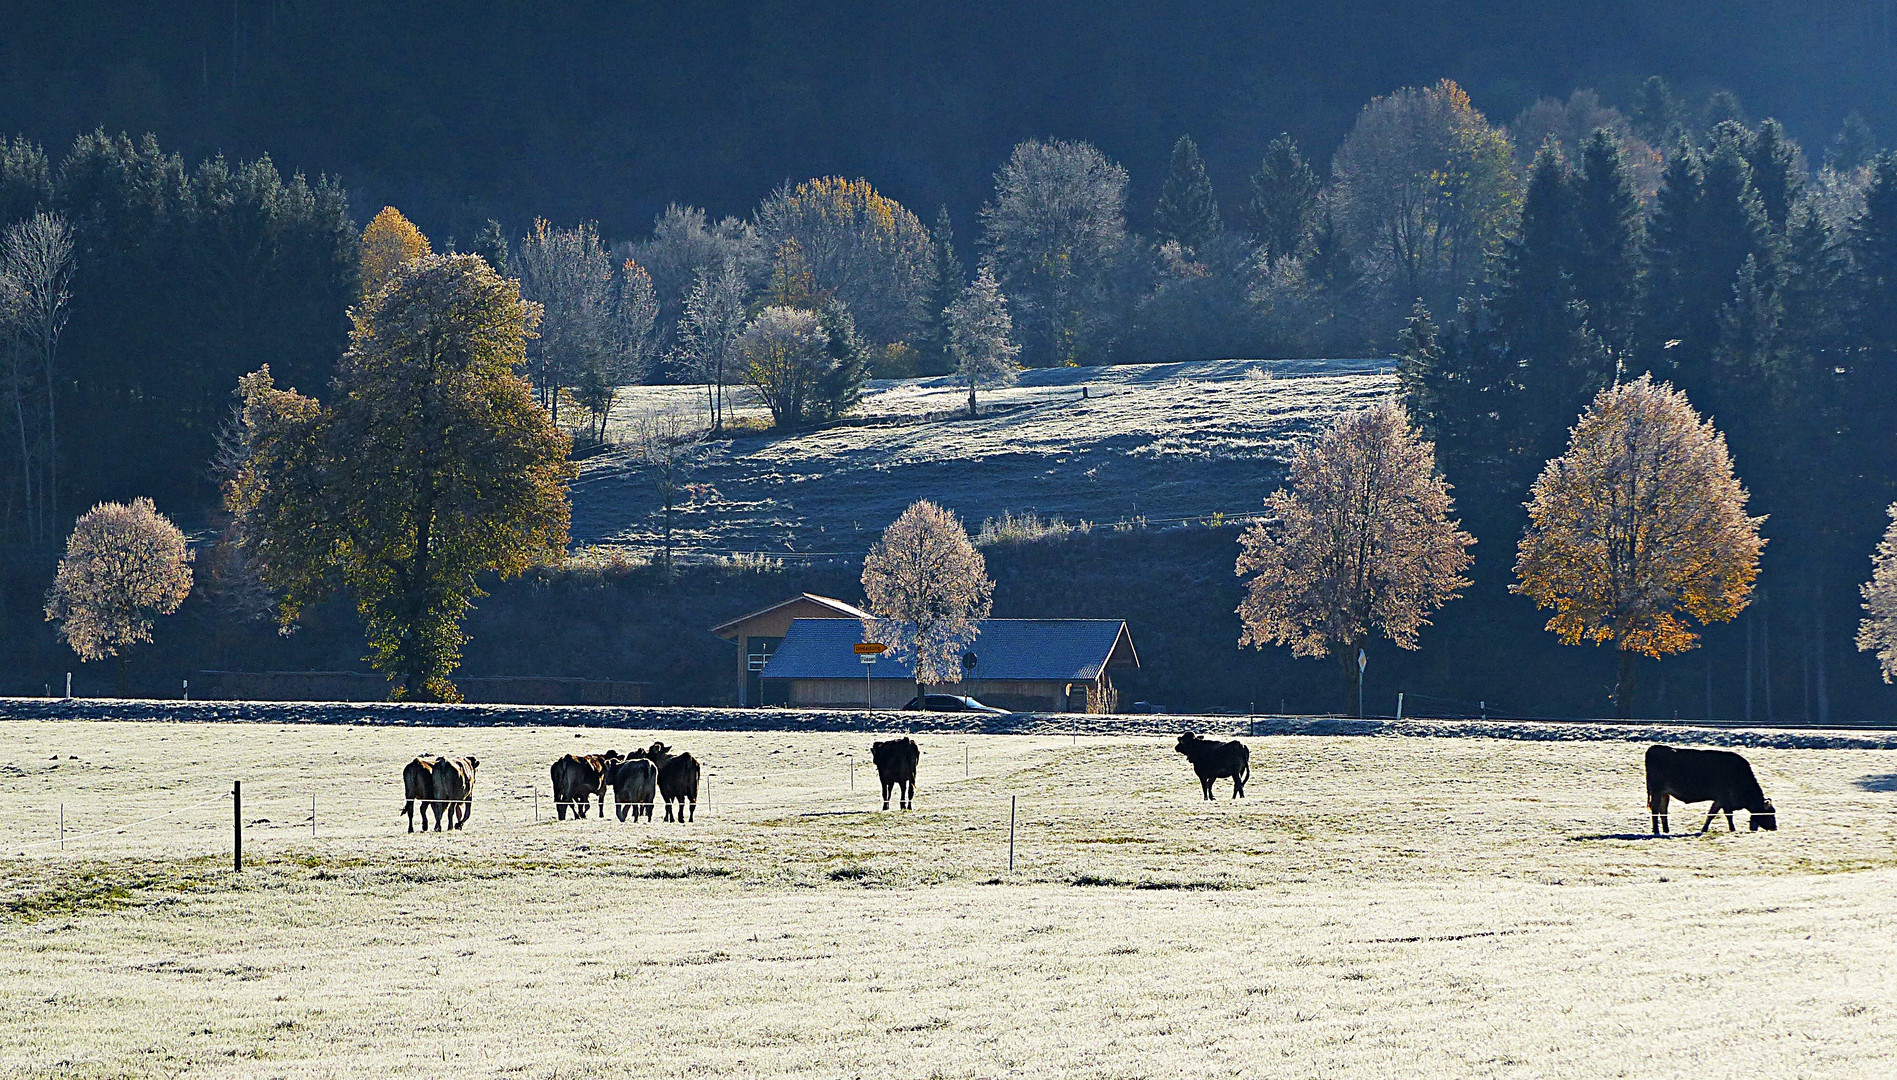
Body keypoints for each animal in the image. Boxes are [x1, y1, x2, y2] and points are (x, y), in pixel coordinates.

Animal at [1646, 740, 1775, 835]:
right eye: (1769, 813)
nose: (1775, 827)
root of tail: (1654, 748)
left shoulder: (1718, 801)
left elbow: (1711, 814)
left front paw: (1704, 829)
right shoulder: (1725, 800)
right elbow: (1728, 816)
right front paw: (1733, 829)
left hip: (1664, 793)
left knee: (1663, 810)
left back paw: (1666, 831)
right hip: (1657, 791)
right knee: (1655, 809)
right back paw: (1657, 831)